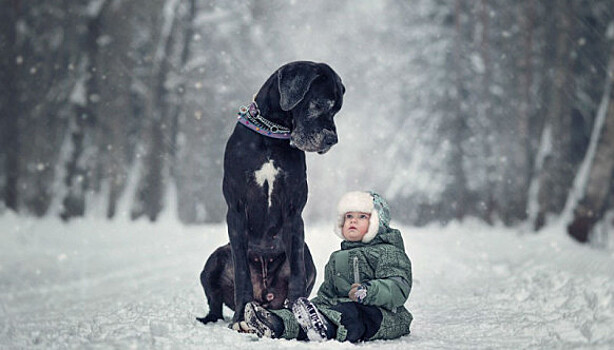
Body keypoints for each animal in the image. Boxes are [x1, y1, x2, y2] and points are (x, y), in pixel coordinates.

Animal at [201, 60, 346, 328]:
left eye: (337, 110)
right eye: (319, 104)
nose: (332, 139)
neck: (271, 135)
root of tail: (265, 295)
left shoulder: (293, 213)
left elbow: (297, 271)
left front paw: (300, 313)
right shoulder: (236, 210)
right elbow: (242, 274)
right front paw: (241, 316)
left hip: (308, 257)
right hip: (213, 260)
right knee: (215, 305)